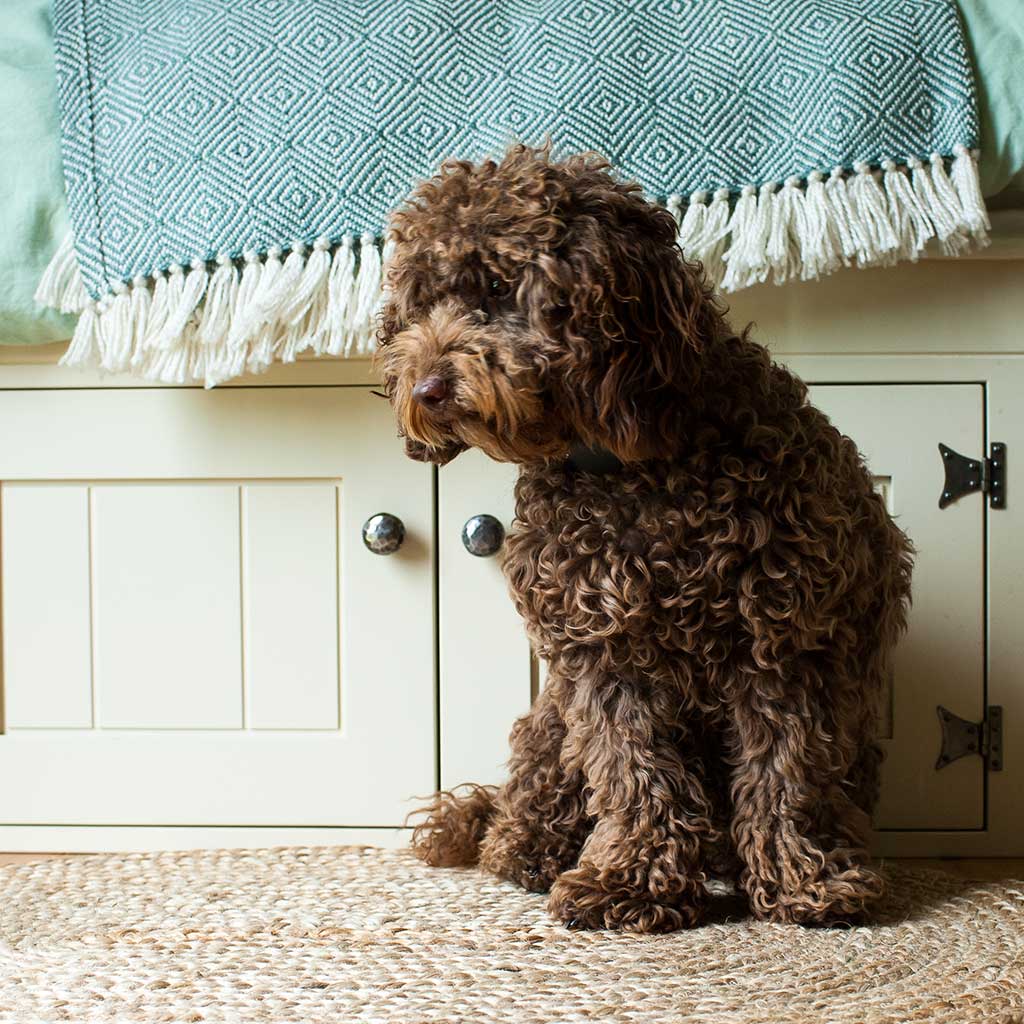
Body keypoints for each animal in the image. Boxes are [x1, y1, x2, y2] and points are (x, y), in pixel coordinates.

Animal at [374, 146, 913, 937]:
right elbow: (635, 774)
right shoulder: (607, 657)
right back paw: (524, 848)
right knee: (524, 803)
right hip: (551, 717)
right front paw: (630, 882)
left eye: (498, 288)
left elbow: (786, 773)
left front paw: (804, 879)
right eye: (420, 305)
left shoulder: (786, 643)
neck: (627, 466)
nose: (425, 389)